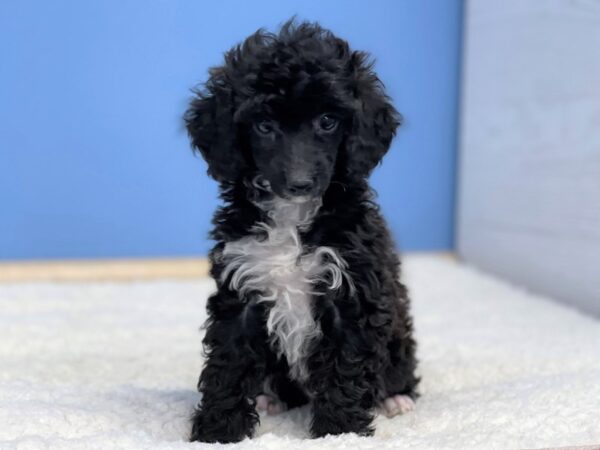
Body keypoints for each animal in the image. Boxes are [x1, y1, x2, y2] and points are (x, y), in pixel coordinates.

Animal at [183, 18, 418, 442]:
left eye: (327, 121)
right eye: (264, 126)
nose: (299, 183)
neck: (292, 218)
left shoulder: (351, 292)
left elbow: (346, 366)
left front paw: (339, 432)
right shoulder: (240, 287)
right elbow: (227, 363)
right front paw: (218, 430)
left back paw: (396, 399)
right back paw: (268, 398)